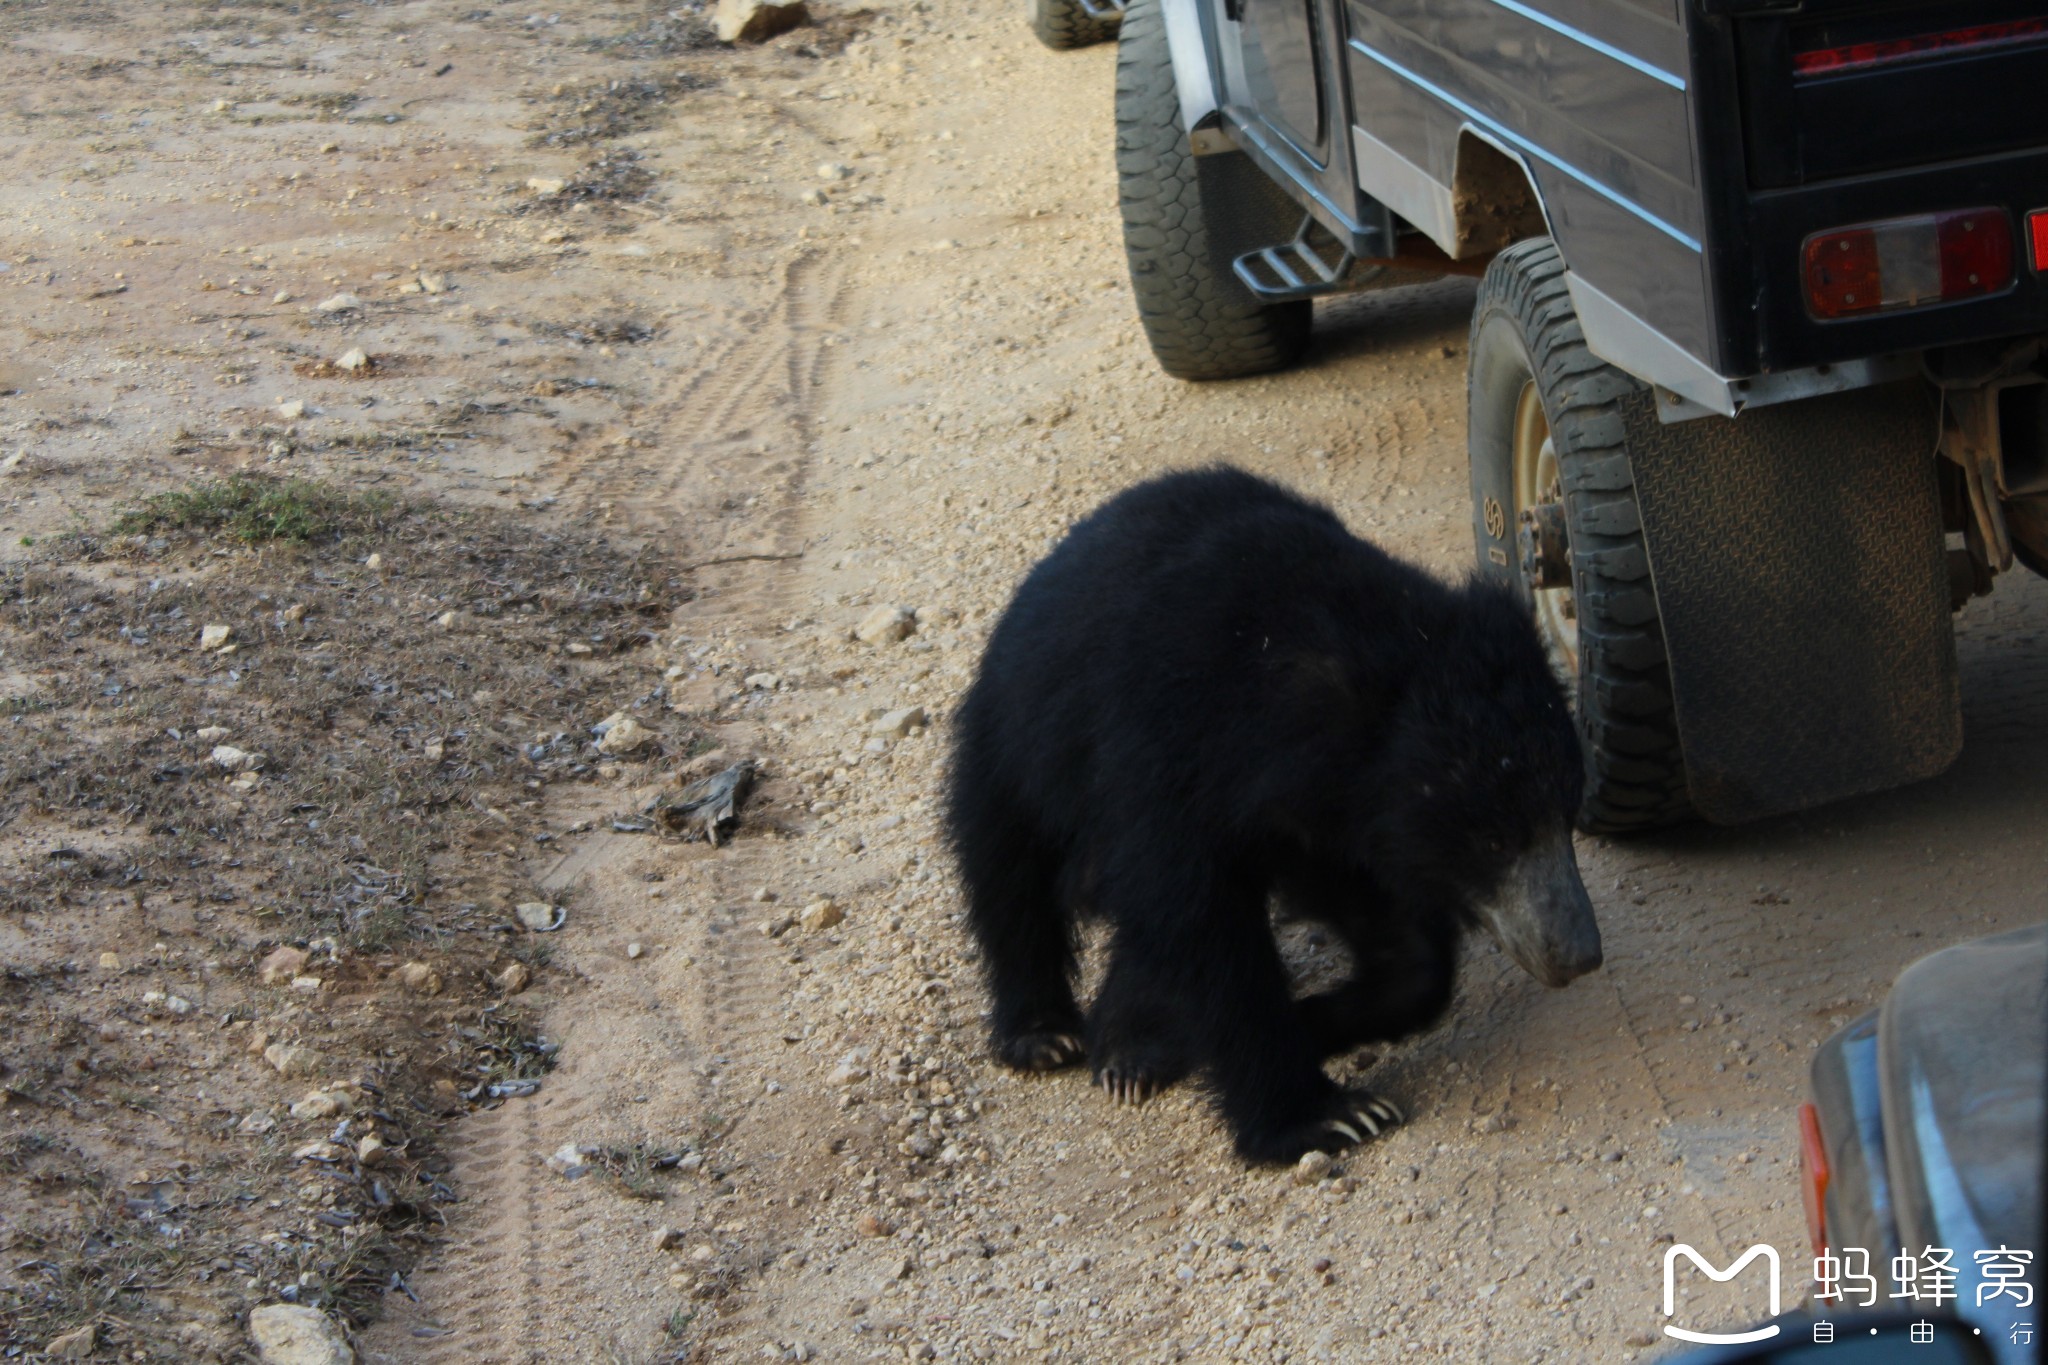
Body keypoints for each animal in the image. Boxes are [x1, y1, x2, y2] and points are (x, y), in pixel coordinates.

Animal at [942, 464, 1597, 1162]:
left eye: (1566, 816)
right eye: (1495, 841)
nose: (1577, 952)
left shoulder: (1331, 818)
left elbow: (1401, 945)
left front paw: (1314, 1023)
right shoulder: (1160, 752)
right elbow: (1205, 932)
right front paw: (1329, 1115)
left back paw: (1132, 1050)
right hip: (1014, 735)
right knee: (1009, 871)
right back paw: (1045, 1035)